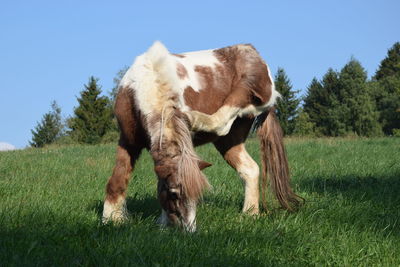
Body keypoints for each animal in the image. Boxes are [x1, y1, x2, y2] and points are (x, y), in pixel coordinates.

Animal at [103, 40, 304, 231]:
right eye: (173, 192)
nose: (189, 231)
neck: (145, 83)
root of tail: (254, 52)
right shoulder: (128, 142)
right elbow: (117, 179)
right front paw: (111, 220)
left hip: (250, 88)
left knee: (224, 119)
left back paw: (192, 118)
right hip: (230, 140)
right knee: (250, 169)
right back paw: (250, 214)